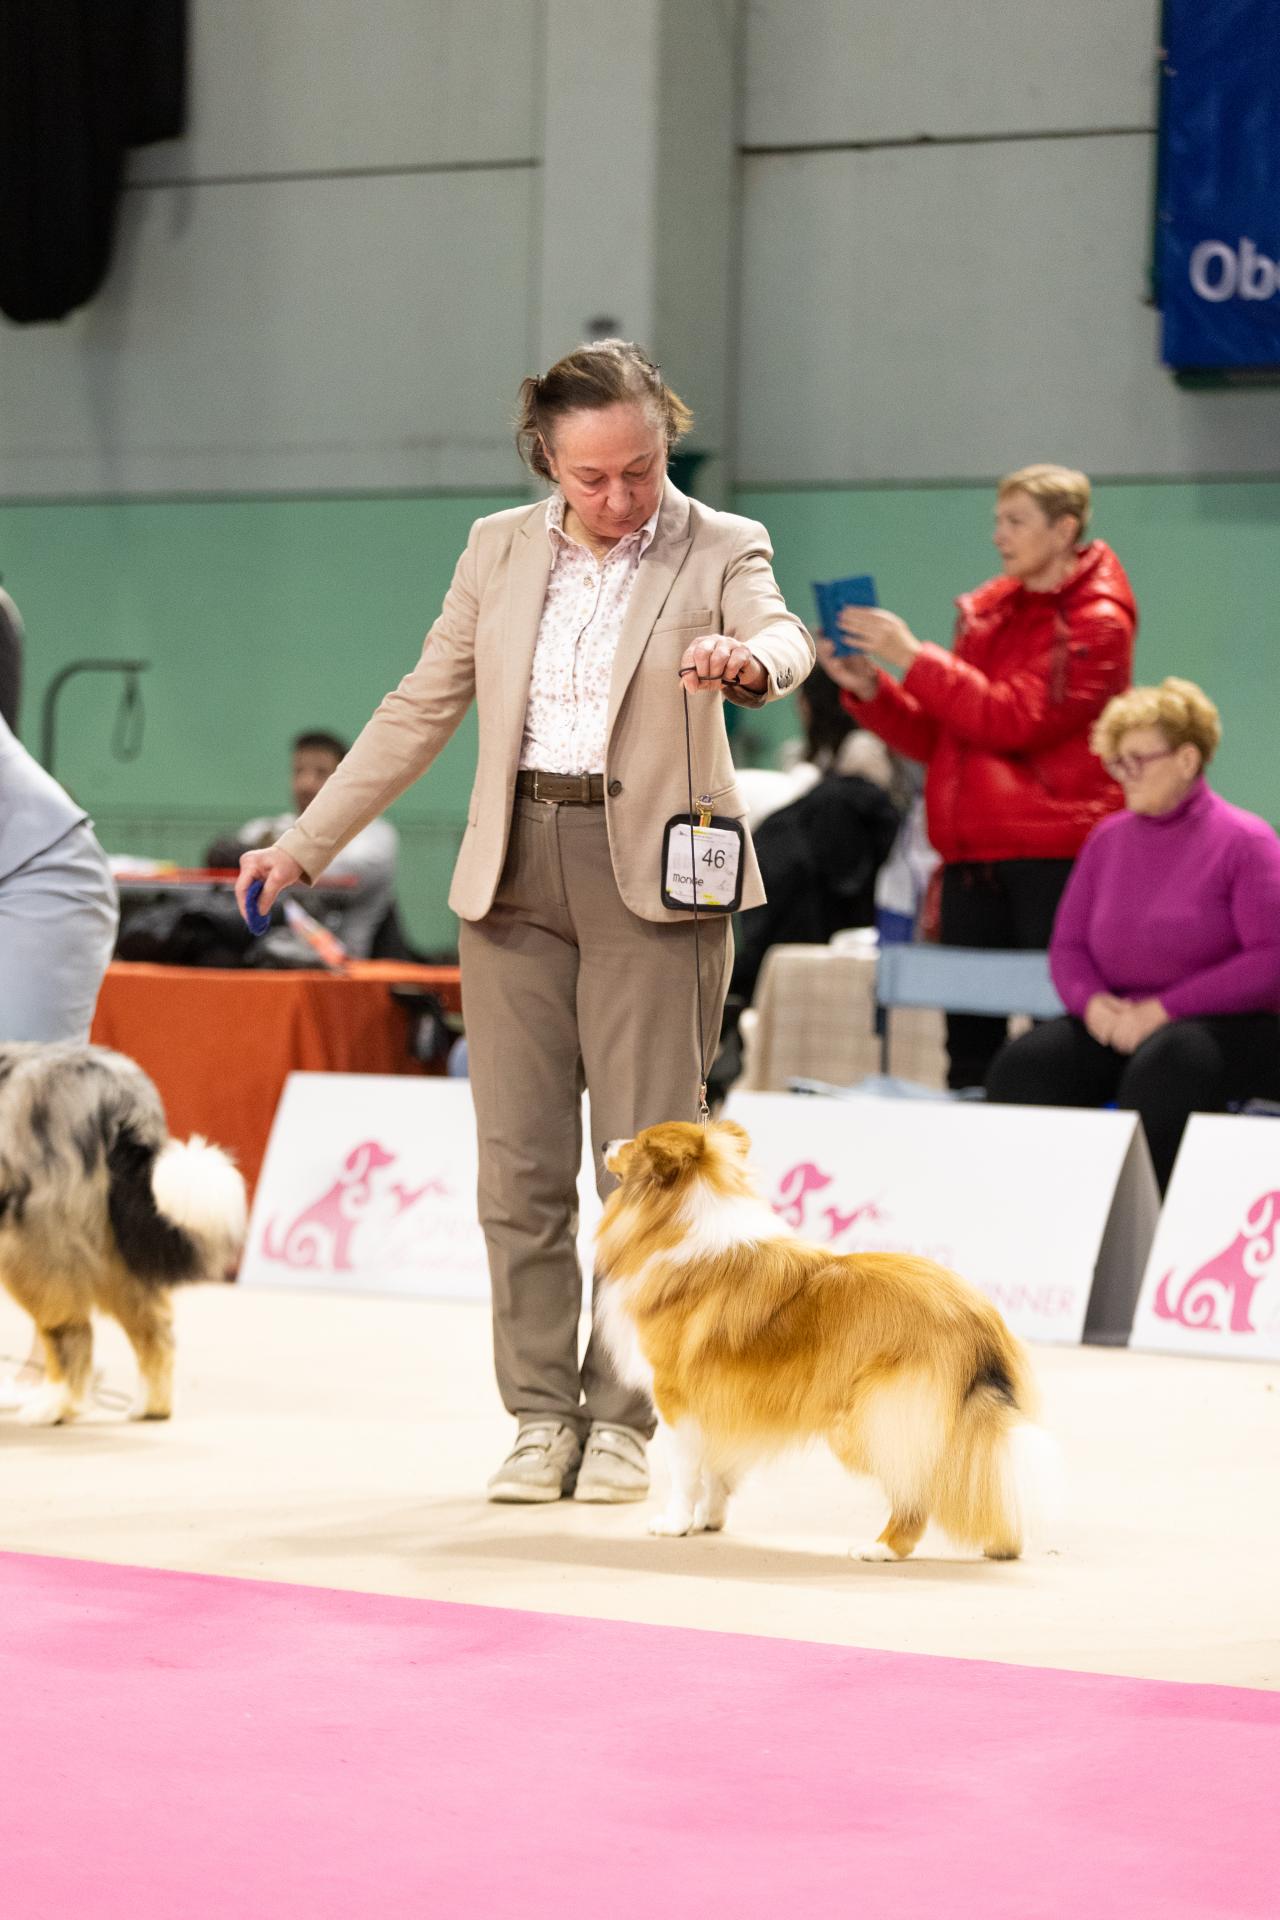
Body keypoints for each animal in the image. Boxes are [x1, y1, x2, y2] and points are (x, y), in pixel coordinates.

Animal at [0, 1043, 246, 1425]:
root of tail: (116, 1090)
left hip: (34, 1242)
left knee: (72, 1330)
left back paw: (53, 1405)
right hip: (109, 1237)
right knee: (153, 1319)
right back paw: (150, 1407)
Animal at [596, 1119, 1055, 1559]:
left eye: (637, 1142)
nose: (603, 1143)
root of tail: (979, 1321)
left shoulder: (675, 1397)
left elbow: (685, 1471)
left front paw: (674, 1524)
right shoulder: (721, 1400)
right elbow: (718, 1467)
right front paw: (709, 1518)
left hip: (877, 1421)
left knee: (916, 1487)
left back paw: (882, 1548)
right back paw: (1002, 1544)